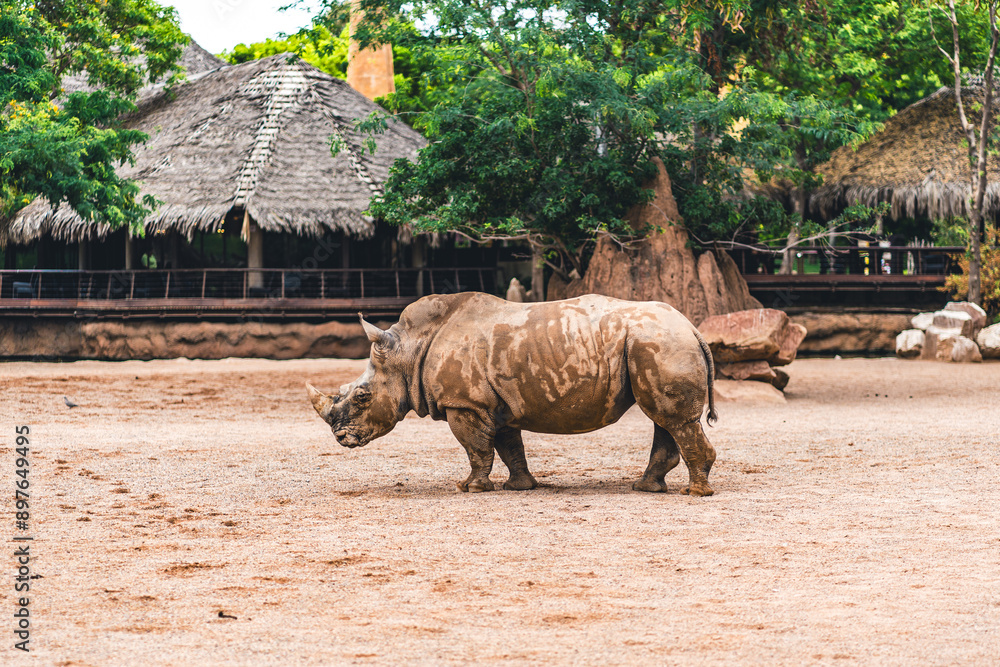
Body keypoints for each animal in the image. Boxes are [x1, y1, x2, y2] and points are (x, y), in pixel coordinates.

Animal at [307, 292, 718, 496]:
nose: (341, 438)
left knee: (673, 419)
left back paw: (694, 493)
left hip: (659, 343)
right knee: (664, 419)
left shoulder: (465, 403)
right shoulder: (494, 403)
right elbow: (508, 446)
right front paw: (520, 487)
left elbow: (475, 448)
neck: (408, 351)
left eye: (362, 396)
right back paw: (648, 488)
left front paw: (470, 489)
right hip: (654, 344)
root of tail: (693, 328)